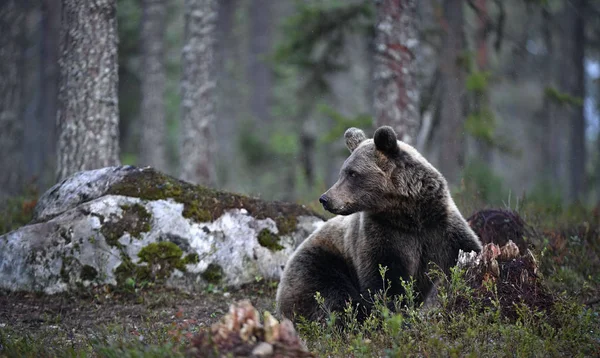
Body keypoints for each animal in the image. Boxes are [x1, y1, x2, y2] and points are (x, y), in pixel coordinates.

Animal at [276, 125, 482, 322]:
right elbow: (384, 280)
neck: (409, 215)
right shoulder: (382, 235)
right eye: (343, 172)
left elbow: (467, 251)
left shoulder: (440, 229)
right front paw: (396, 314)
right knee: (332, 295)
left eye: (352, 173)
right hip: (320, 262)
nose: (325, 199)